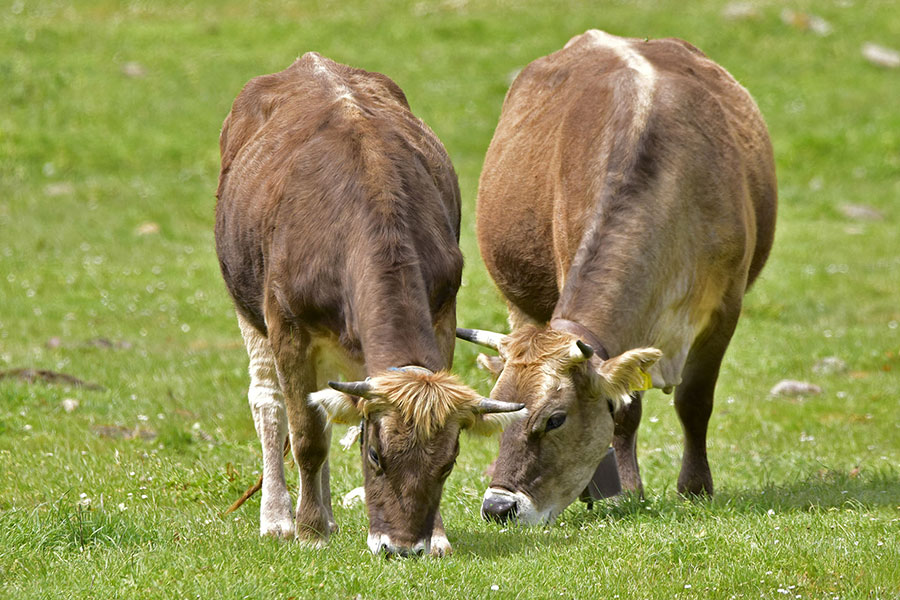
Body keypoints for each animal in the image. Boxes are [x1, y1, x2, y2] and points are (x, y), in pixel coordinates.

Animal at [216, 54, 520, 556]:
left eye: (449, 463)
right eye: (375, 455)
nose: (401, 547)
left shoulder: (443, 313)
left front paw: (437, 536)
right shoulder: (287, 326)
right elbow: (306, 436)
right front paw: (309, 531)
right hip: (248, 311)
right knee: (270, 404)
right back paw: (279, 517)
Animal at [460, 30, 776, 524]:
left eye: (555, 418)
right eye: (500, 414)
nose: (498, 506)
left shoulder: (726, 306)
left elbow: (695, 401)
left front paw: (695, 487)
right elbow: (625, 411)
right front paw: (625, 491)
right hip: (520, 301)